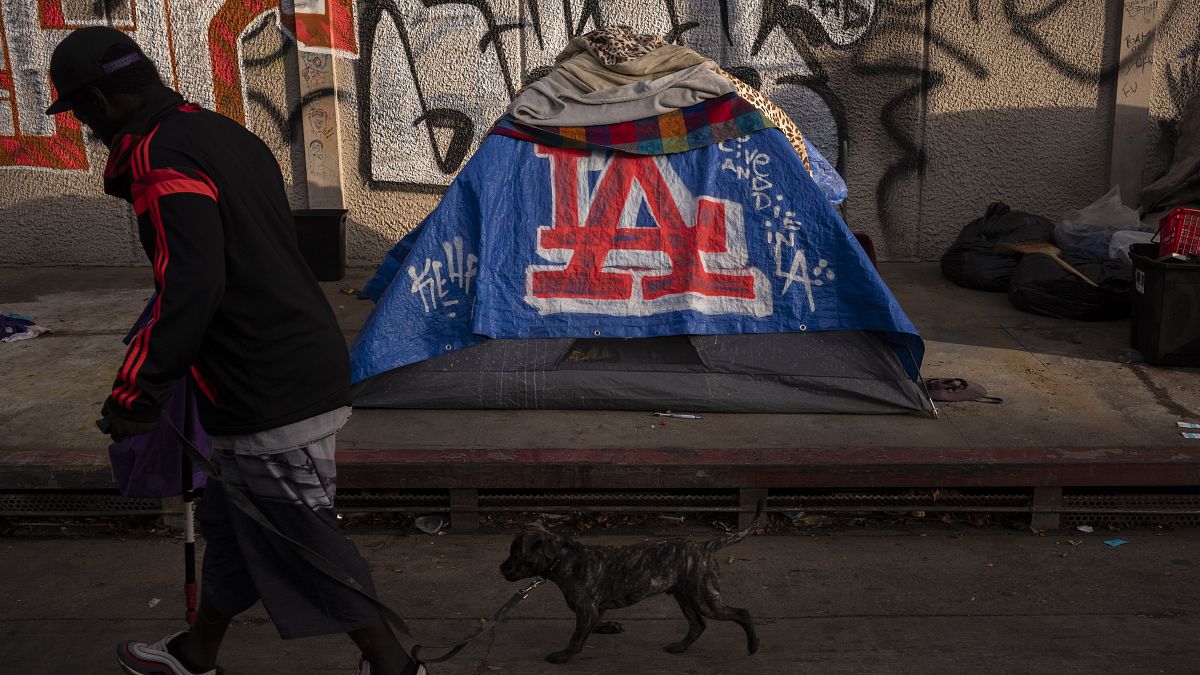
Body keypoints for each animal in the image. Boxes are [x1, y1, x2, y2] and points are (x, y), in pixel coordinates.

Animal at [499, 499, 763, 662]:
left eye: (515, 555)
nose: (501, 569)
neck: (562, 558)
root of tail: (704, 546)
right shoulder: (595, 609)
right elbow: (593, 625)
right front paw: (610, 627)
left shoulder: (586, 609)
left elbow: (576, 636)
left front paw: (563, 655)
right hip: (685, 596)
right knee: (698, 625)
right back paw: (679, 647)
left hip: (704, 598)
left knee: (742, 613)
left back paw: (753, 645)